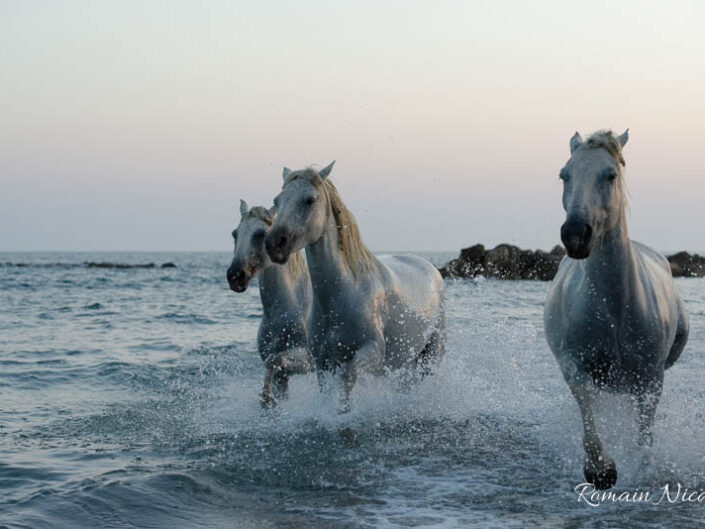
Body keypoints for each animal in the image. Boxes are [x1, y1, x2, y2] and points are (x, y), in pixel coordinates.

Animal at [226, 200, 314, 406]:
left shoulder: (309, 361)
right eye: (235, 234)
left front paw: (266, 399)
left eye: (261, 234)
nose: (235, 276)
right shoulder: (283, 375)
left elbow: (275, 361)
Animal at [264, 163, 446, 410]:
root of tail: (431, 269)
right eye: (277, 200)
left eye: (310, 200)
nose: (274, 244)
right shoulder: (323, 363)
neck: (344, 293)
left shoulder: (373, 351)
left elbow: (348, 377)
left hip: (431, 354)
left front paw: (345, 411)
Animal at [544, 130, 688, 488]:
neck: (613, 310)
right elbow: (584, 399)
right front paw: (601, 470)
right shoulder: (574, 363)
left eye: (610, 175)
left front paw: (644, 469)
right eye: (564, 175)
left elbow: (645, 428)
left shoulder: (650, 376)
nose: (575, 234)